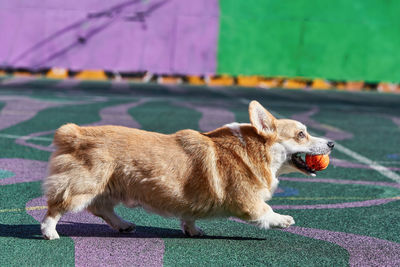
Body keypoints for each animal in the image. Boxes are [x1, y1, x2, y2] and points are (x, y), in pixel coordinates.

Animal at [41, 101, 334, 241]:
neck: (256, 150)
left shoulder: (191, 201)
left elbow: (189, 217)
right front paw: (283, 219)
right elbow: (266, 211)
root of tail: (75, 133)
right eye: (301, 134)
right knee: (57, 207)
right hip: (83, 185)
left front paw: (193, 230)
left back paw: (124, 225)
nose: (331, 144)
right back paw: (50, 232)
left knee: (101, 208)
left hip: (110, 186)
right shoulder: (248, 201)